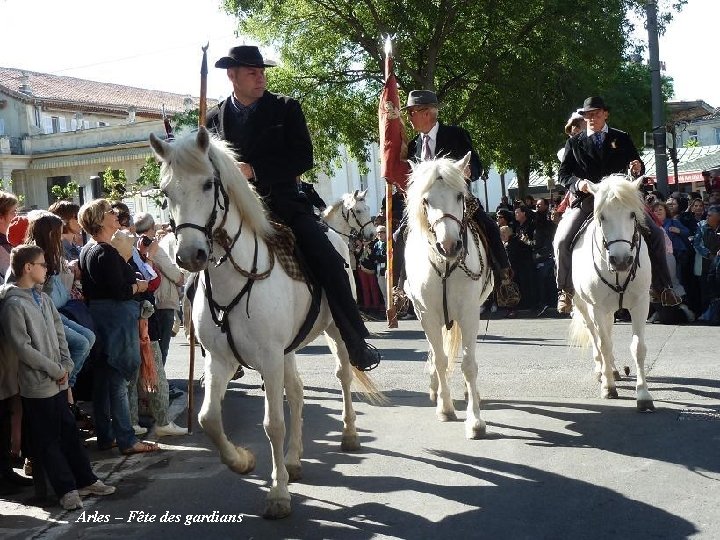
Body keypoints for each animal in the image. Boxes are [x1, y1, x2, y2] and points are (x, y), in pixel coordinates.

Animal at [150, 129, 380, 520]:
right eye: (165, 192)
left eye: (209, 183)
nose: (189, 256)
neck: (234, 278)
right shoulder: (221, 359)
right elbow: (209, 419)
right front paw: (242, 461)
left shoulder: (269, 358)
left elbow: (273, 423)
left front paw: (277, 494)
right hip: (286, 350)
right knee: (298, 392)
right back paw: (294, 460)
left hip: (334, 332)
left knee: (343, 375)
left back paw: (348, 434)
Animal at [404, 152, 496, 438]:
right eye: (425, 200)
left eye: (459, 196)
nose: (449, 246)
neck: (444, 266)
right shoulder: (427, 315)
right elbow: (441, 360)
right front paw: (445, 408)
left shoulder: (469, 313)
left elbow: (468, 364)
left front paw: (475, 420)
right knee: (435, 354)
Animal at [564, 175, 656, 412]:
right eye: (602, 216)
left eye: (632, 214)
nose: (621, 260)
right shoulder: (597, 307)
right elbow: (603, 344)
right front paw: (608, 387)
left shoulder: (641, 303)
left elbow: (638, 347)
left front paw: (643, 395)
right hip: (584, 306)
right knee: (595, 336)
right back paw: (603, 372)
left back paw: (613, 370)